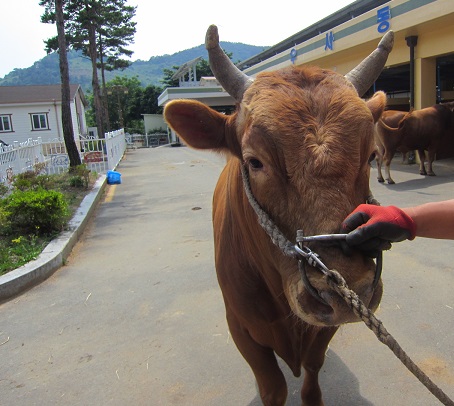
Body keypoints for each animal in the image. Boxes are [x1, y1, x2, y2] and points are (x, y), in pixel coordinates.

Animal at [165, 26, 392, 406]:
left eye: (371, 155)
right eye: (255, 161)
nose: (350, 285)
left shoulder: (324, 327)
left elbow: (313, 369)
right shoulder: (241, 327)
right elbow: (273, 387)